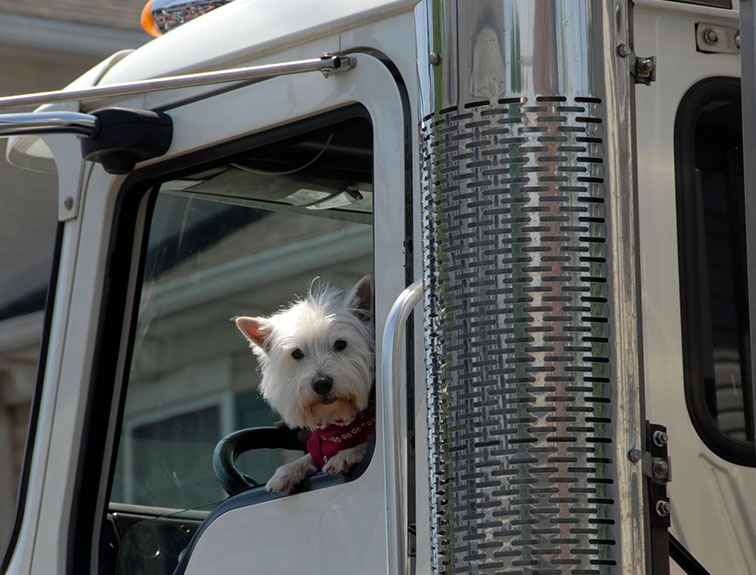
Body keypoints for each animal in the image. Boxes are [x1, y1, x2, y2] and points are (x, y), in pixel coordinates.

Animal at [236, 276, 376, 492]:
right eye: (297, 353)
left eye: (340, 344)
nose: (321, 383)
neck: (339, 428)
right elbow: (309, 457)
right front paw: (287, 472)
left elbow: (365, 442)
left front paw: (346, 454)